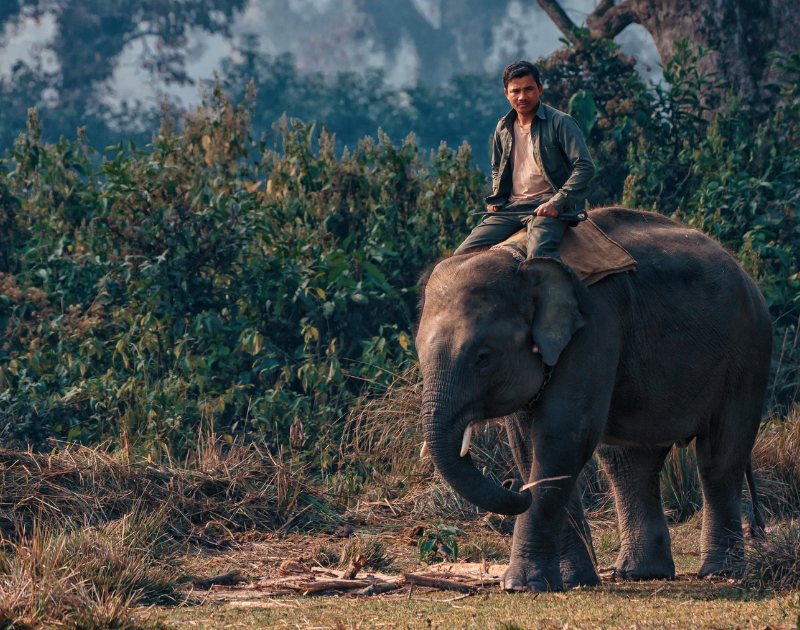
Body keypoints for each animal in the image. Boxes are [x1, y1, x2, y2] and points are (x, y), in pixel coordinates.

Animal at [416, 207, 771, 592]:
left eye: (483, 357)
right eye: (419, 353)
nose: (514, 486)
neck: (520, 259)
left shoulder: (596, 326)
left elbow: (561, 436)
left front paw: (523, 586)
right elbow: (528, 445)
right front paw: (573, 581)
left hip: (748, 353)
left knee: (719, 457)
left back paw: (720, 573)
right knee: (629, 462)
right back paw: (641, 574)